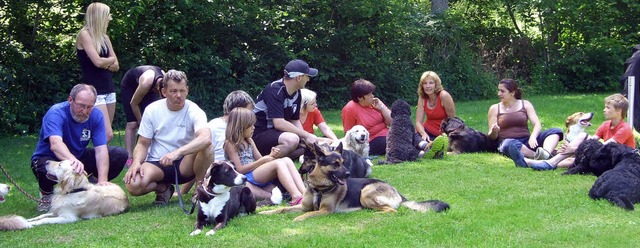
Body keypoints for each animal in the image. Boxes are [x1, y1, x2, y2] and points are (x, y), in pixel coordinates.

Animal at [260, 141, 450, 221]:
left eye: (343, 162)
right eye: (335, 164)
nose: (348, 173)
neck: (319, 188)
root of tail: (398, 193)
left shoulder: (325, 211)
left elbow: (307, 214)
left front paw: (297, 220)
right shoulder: (303, 206)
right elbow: (283, 209)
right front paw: (266, 212)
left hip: (365, 193)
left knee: (392, 210)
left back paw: (374, 214)